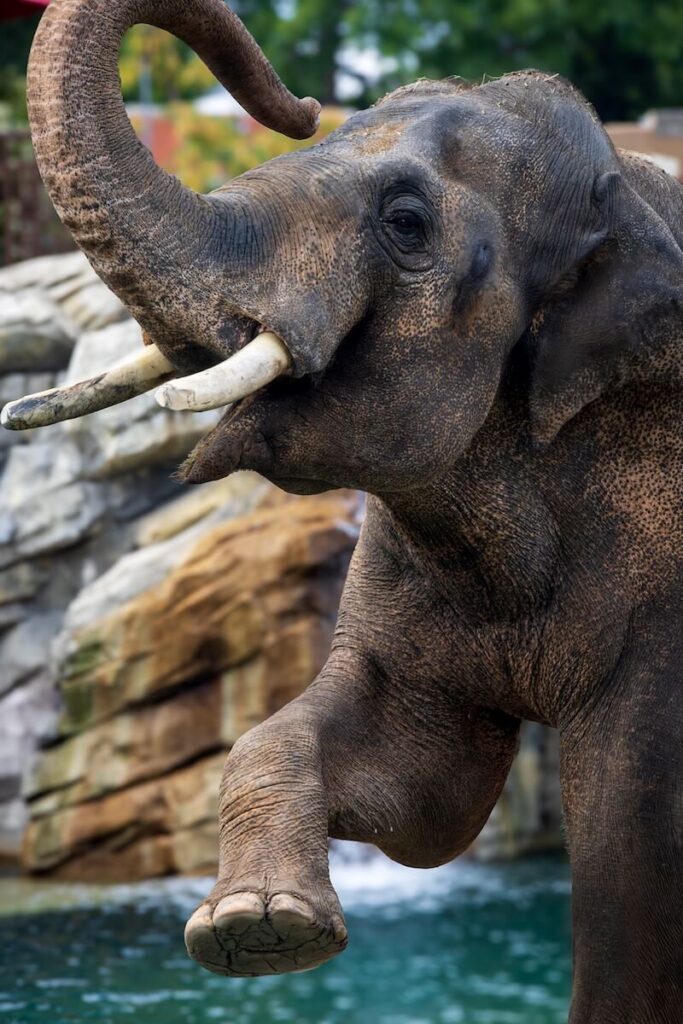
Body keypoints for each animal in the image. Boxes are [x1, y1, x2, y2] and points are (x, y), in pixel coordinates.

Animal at [5, 0, 681, 1020]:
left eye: (406, 222)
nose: (300, 102)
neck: (629, 190)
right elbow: (421, 790)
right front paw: (257, 929)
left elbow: (628, 838)